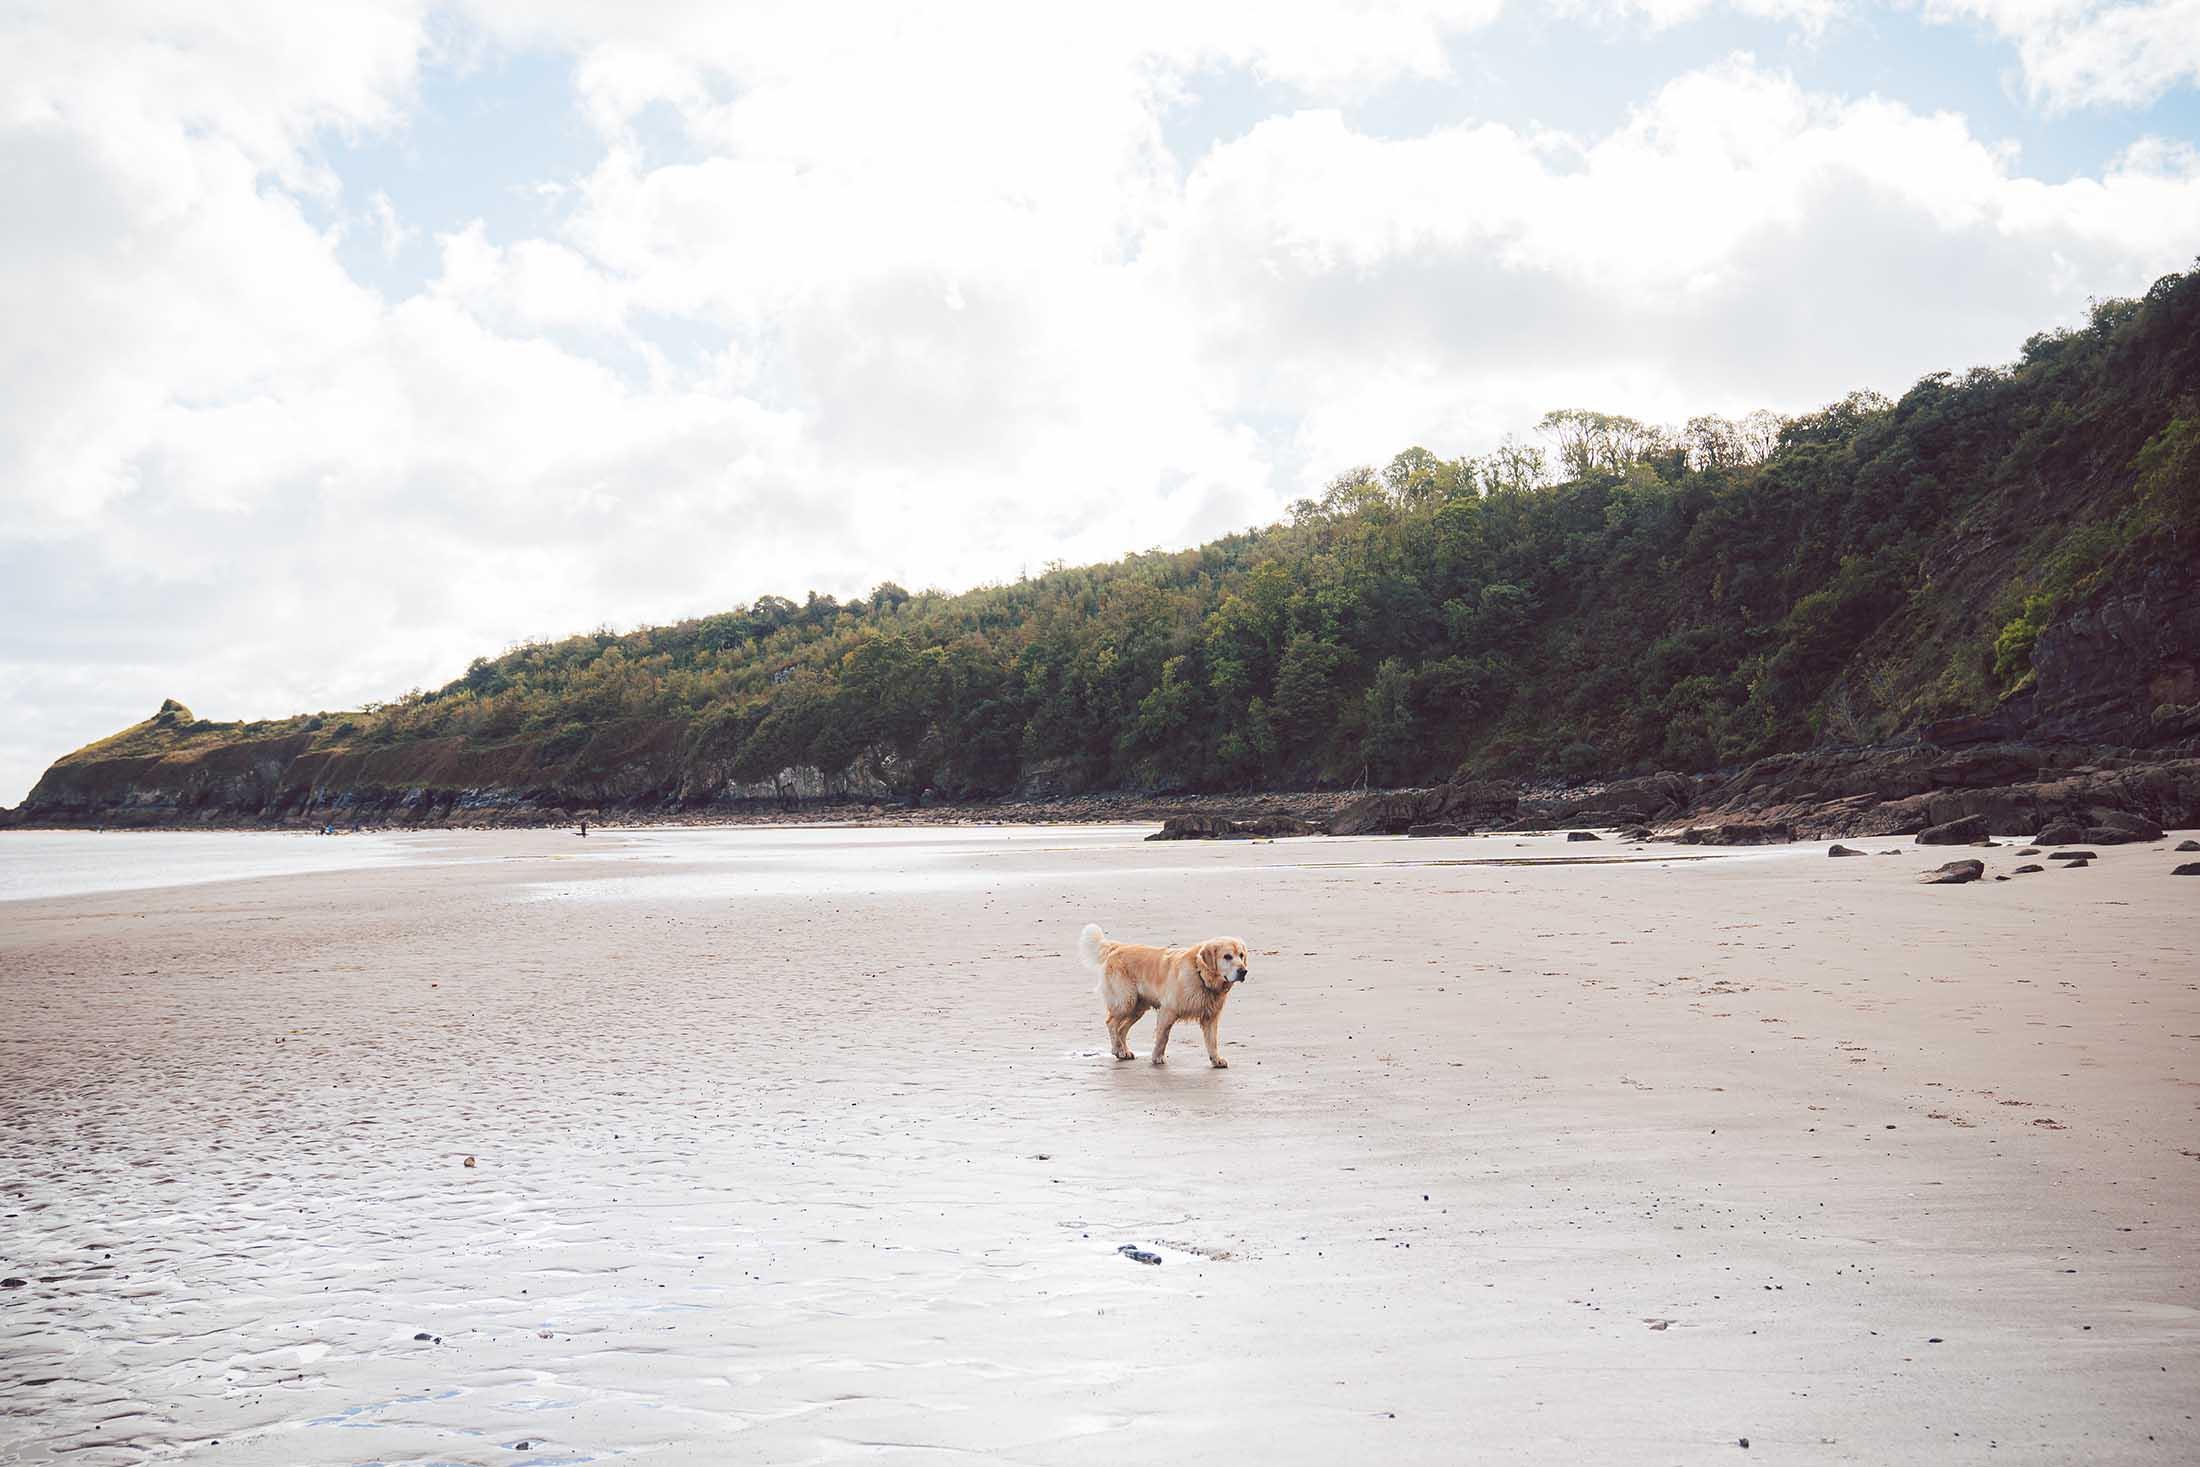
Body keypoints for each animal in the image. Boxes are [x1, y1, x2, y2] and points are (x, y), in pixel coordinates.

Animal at [1073, 928, 1249, 1068]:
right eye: (1227, 956)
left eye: (1241, 955)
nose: (1244, 971)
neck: (1200, 974)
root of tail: (1118, 947)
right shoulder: (1168, 1010)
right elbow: (1163, 1037)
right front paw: (1157, 1057)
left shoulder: (1211, 1016)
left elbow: (1212, 1041)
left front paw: (1216, 1060)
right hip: (1126, 1001)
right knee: (1111, 1023)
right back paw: (1117, 1049)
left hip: (1138, 1007)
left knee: (1121, 1028)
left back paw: (1124, 1051)